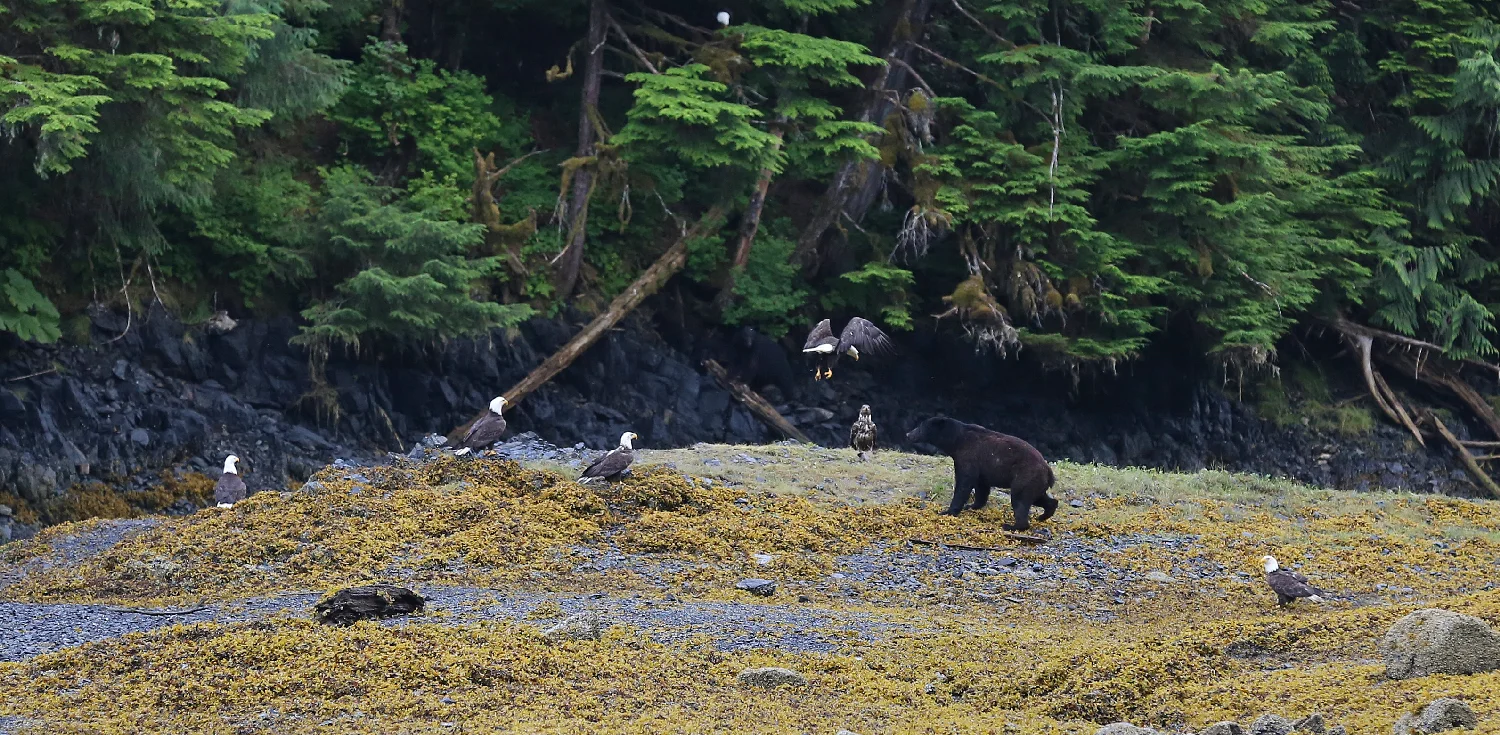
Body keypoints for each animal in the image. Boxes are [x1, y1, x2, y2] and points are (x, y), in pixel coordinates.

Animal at [905, 416, 1058, 531]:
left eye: (920, 427)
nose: (908, 434)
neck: (957, 441)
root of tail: (1048, 470)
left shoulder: (969, 456)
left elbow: (964, 484)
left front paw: (948, 511)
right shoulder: (982, 469)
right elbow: (981, 487)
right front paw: (972, 505)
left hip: (1025, 476)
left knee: (1020, 499)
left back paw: (1012, 526)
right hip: (1035, 482)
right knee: (1038, 497)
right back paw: (1044, 514)